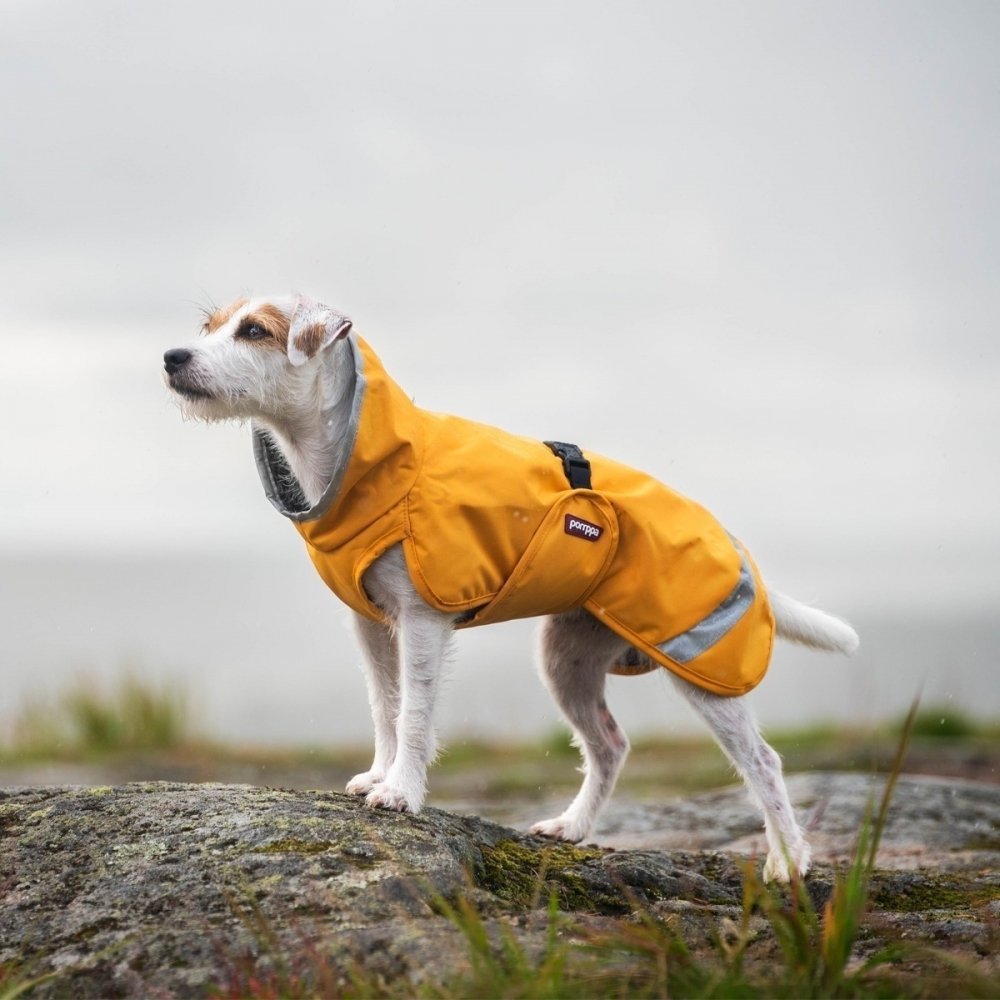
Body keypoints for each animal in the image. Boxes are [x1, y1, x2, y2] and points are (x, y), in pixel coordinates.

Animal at [164, 292, 860, 884]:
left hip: (699, 658)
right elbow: (384, 707)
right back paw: (574, 826)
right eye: (210, 325)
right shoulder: (368, 623)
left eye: (255, 330)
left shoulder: (422, 619)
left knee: (763, 761)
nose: (172, 357)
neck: (368, 459)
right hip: (566, 659)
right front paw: (378, 775)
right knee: (610, 745)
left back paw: (788, 861)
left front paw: (402, 791)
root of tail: (730, 538)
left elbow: (414, 712)